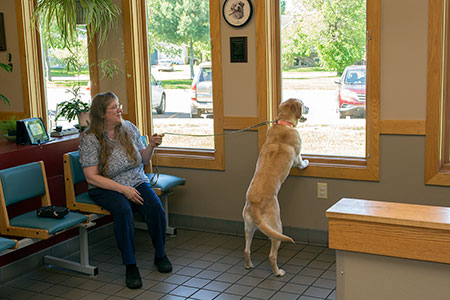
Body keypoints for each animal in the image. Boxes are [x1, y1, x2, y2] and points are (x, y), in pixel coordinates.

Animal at [243, 98, 310, 276]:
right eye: (303, 103)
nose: (308, 107)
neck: (283, 123)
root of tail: (253, 205)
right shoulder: (297, 155)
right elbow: (300, 161)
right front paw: (306, 163)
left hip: (249, 227)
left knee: (246, 250)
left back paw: (249, 265)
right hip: (277, 226)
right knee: (272, 255)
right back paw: (278, 272)